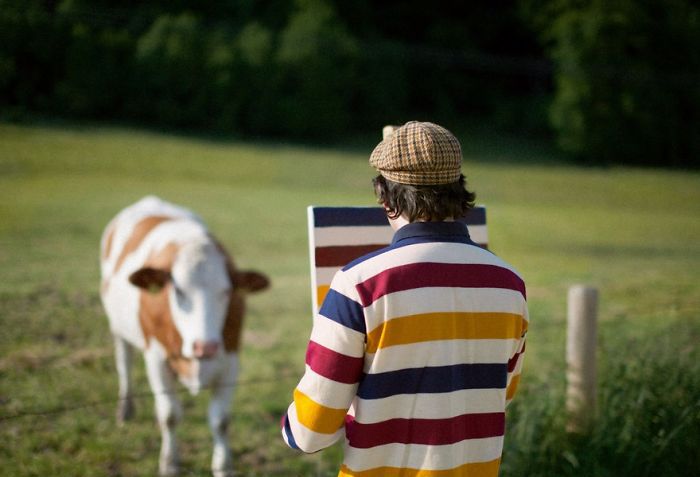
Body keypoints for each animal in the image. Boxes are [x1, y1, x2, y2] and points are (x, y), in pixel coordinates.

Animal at [100, 194, 270, 476]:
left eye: (226, 291)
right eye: (178, 290)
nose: (206, 346)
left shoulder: (230, 360)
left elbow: (221, 420)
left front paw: (223, 466)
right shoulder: (156, 359)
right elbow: (170, 415)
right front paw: (169, 464)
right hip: (118, 329)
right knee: (124, 364)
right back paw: (125, 410)